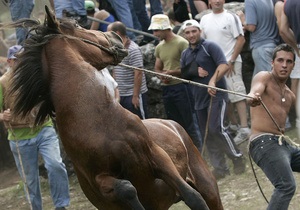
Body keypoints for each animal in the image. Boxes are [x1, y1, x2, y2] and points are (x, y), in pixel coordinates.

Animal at [6, 6, 223, 210]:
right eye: (77, 26)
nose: (115, 36)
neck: (98, 119)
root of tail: (170, 123)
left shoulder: (157, 156)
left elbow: (193, 197)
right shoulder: (100, 179)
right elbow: (126, 188)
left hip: (208, 186)